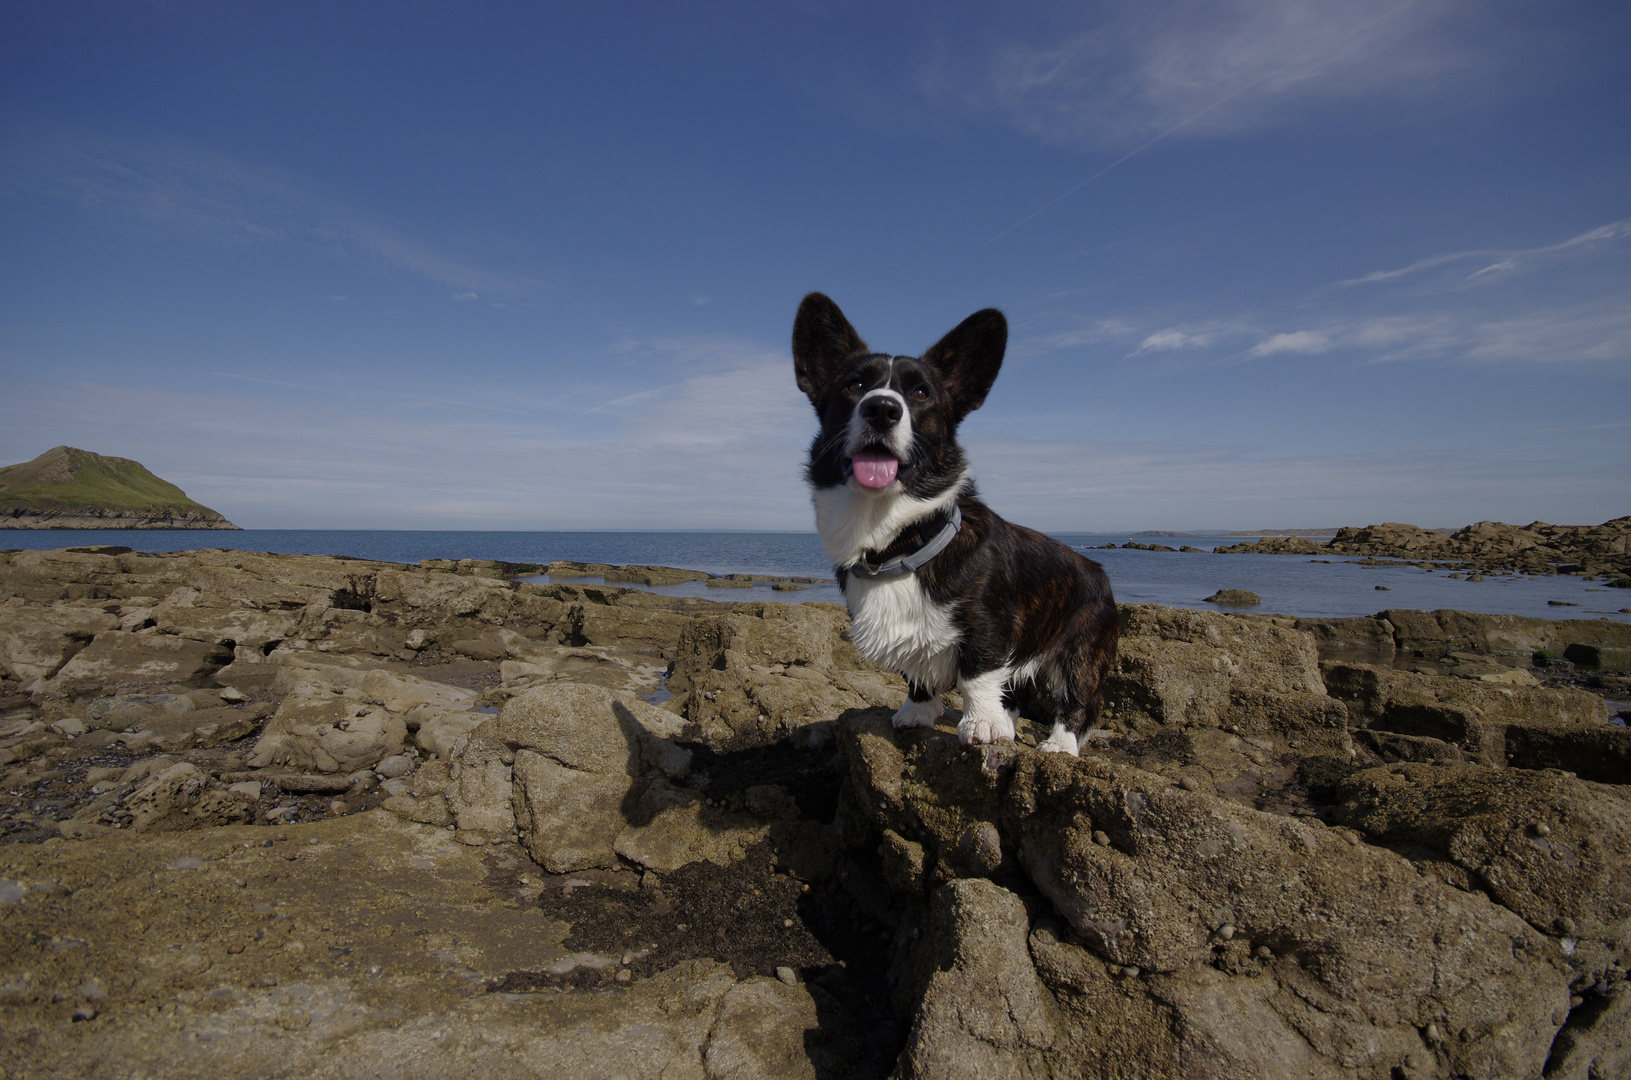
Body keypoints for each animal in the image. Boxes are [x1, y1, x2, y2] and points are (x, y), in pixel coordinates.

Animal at [792, 292, 1122, 756]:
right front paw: (917, 712)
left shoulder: (989, 626)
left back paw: (1059, 744)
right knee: (1016, 690)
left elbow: (976, 674)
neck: (898, 541)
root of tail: (1098, 570)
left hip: (1082, 651)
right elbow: (917, 674)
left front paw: (981, 724)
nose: (881, 409)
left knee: (1078, 700)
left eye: (921, 392)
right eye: (854, 386)